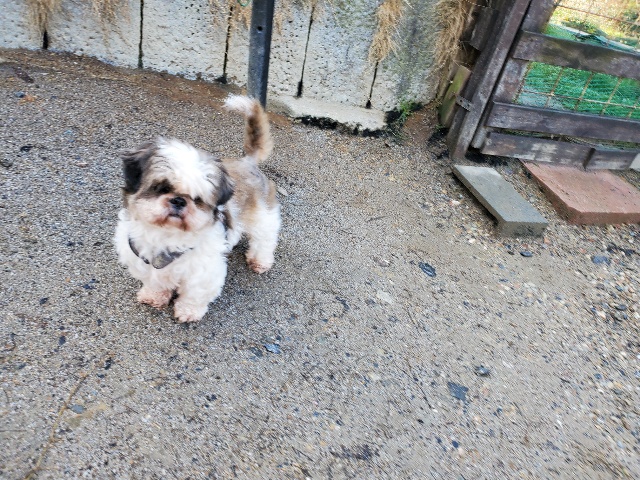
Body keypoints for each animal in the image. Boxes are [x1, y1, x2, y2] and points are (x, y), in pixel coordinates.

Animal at [114, 95, 280, 323]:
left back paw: (260, 260)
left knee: (265, 239)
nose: (178, 201)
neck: (167, 235)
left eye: (197, 199)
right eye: (162, 188)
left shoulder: (203, 273)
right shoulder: (144, 262)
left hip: (262, 216)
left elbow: (195, 294)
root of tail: (248, 162)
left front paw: (188, 311)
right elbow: (155, 282)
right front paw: (154, 296)